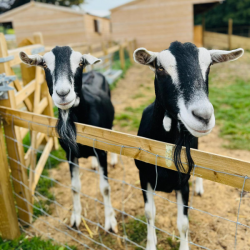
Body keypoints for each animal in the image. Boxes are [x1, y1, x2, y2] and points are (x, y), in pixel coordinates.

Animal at [19, 46, 117, 232]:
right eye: (44, 65)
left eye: (80, 63)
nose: (63, 93)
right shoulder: (70, 154)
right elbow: (75, 187)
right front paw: (75, 219)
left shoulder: (101, 151)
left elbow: (106, 188)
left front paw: (110, 223)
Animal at [134, 42, 243, 249]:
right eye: (160, 68)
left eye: (209, 66)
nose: (204, 116)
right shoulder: (144, 177)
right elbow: (149, 213)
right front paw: (151, 244)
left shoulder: (183, 184)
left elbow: (183, 223)